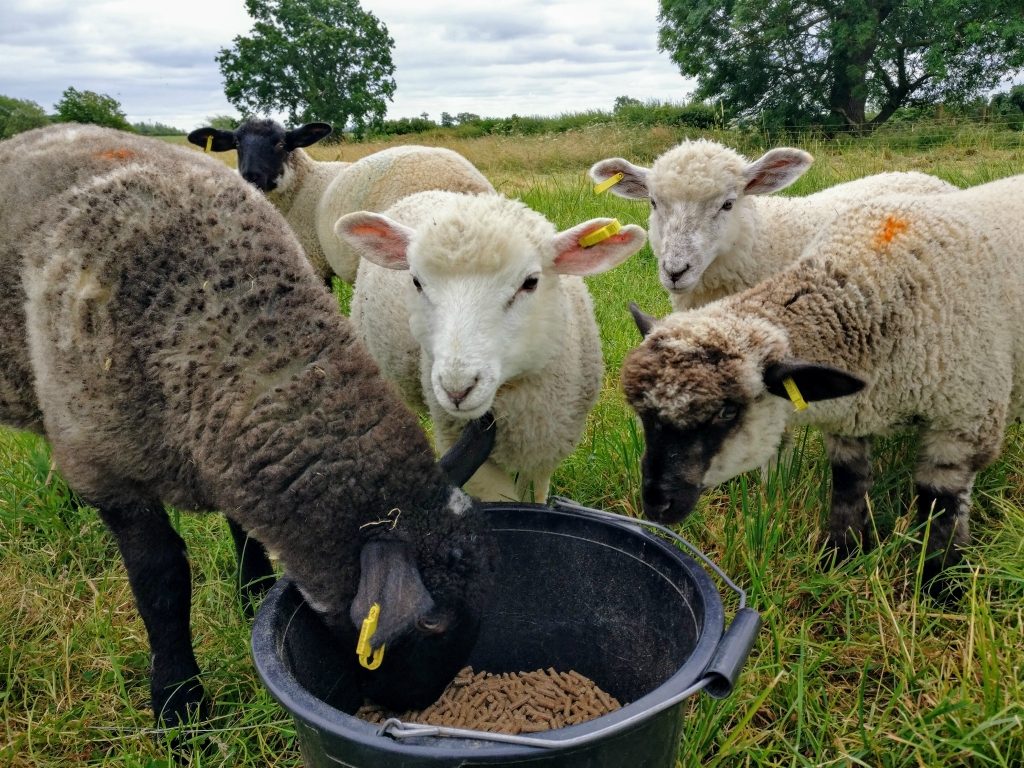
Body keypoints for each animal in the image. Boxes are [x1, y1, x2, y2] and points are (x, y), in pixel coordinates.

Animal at [188, 119, 494, 284]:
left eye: (280, 144)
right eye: (237, 144)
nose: (251, 177)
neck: (302, 185)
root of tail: (466, 182)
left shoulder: (312, 258)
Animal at [336, 191, 647, 503]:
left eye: (530, 282)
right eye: (416, 281)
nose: (457, 389)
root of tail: (428, 191)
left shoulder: (546, 448)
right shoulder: (464, 448)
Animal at [619, 174, 1024, 594]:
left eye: (727, 412)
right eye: (643, 417)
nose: (655, 505)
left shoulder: (965, 421)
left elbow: (940, 508)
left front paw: (940, 585)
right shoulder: (850, 421)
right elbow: (848, 485)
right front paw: (841, 556)